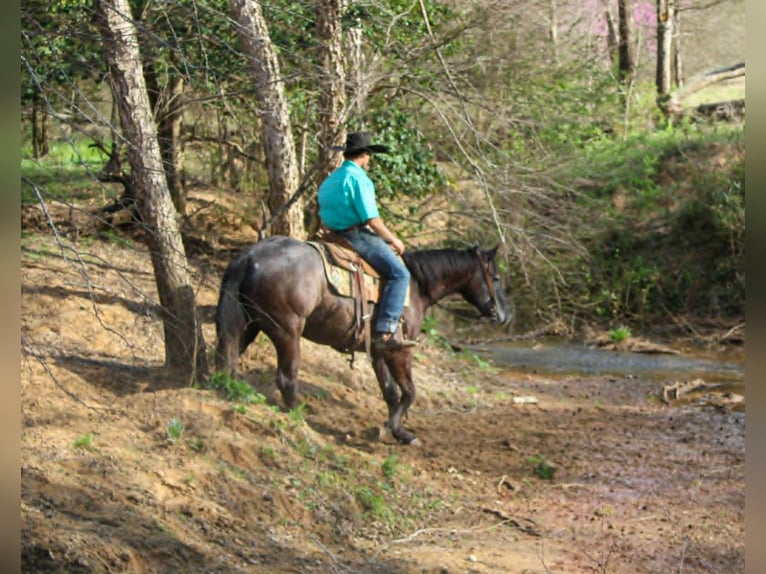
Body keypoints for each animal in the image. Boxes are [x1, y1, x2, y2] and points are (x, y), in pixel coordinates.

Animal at [214, 235, 512, 445]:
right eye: (496, 278)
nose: (506, 315)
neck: (416, 286)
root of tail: (249, 257)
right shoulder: (400, 351)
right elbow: (410, 392)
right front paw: (388, 429)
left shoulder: (380, 351)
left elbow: (391, 393)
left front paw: (400, 432)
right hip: (287, 332)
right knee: (286, 378)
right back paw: (301, 417)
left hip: (248, 327)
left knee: (228, 361)